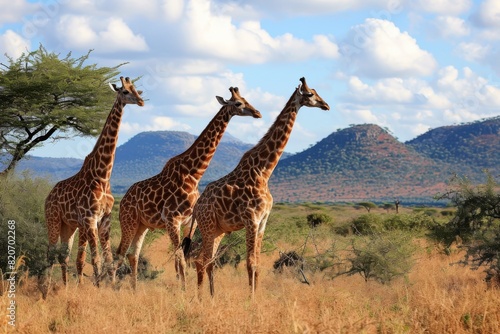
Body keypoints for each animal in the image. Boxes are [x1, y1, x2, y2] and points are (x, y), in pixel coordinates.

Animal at [41, 75, 145, 294]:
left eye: (136, 90)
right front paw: (97, 288)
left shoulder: (105, 219)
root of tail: (49, 196)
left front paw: (109, 287)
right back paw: (45, 289)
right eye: (125, 91)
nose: (141, 102)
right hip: (53, 220)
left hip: (69, 226)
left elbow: (108, 259)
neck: (103, 175)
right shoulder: (90, 218)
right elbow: (95, 259)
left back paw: (65, 287)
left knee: (64, 255)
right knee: (50, 253)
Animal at [114, 87, 262, 290]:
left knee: (132, 254)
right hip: (128, 222)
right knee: (119, 253)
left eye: (246, 99)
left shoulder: (189, 223)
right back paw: (109, 285)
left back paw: (135, 290)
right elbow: (180, 259)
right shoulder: (172, 220)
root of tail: (123, 201)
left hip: (142, 225)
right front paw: (183, 291)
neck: (194, 174)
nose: (257, 113)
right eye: (239, 103)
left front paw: (182, 289)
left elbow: (181, 259)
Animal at [186, 77, 330, 298]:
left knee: (206, 261)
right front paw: (251, 300)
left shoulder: (263, 221)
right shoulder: (251, 219)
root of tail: (196, 208)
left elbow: (259, 264)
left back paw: (211, 296)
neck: (264, 171)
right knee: (202, 260)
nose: (326, 105)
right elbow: (250, 263)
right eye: (309, 94)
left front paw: (257, 296)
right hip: (208, 226)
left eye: (315, 91)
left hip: (218, 229)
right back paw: (203, 299)